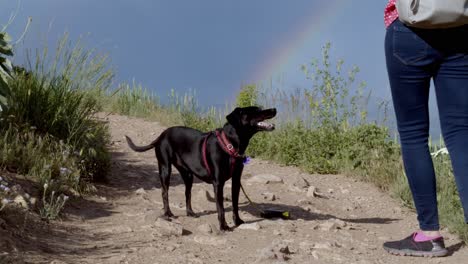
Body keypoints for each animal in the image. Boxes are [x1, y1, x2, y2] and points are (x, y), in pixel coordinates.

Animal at [126, 106, 276, 230]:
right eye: (255, 110)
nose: (274, 109)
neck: (230, 146)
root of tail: (161, 136)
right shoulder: (218, 183)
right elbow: (221, 208)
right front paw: (223, 226)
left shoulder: (236, 181)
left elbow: (235, 204)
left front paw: (237, 221)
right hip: (165, 169)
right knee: (164, 193)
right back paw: (168, 213)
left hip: (188, 175)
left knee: (187, 194)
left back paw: (190, 212)